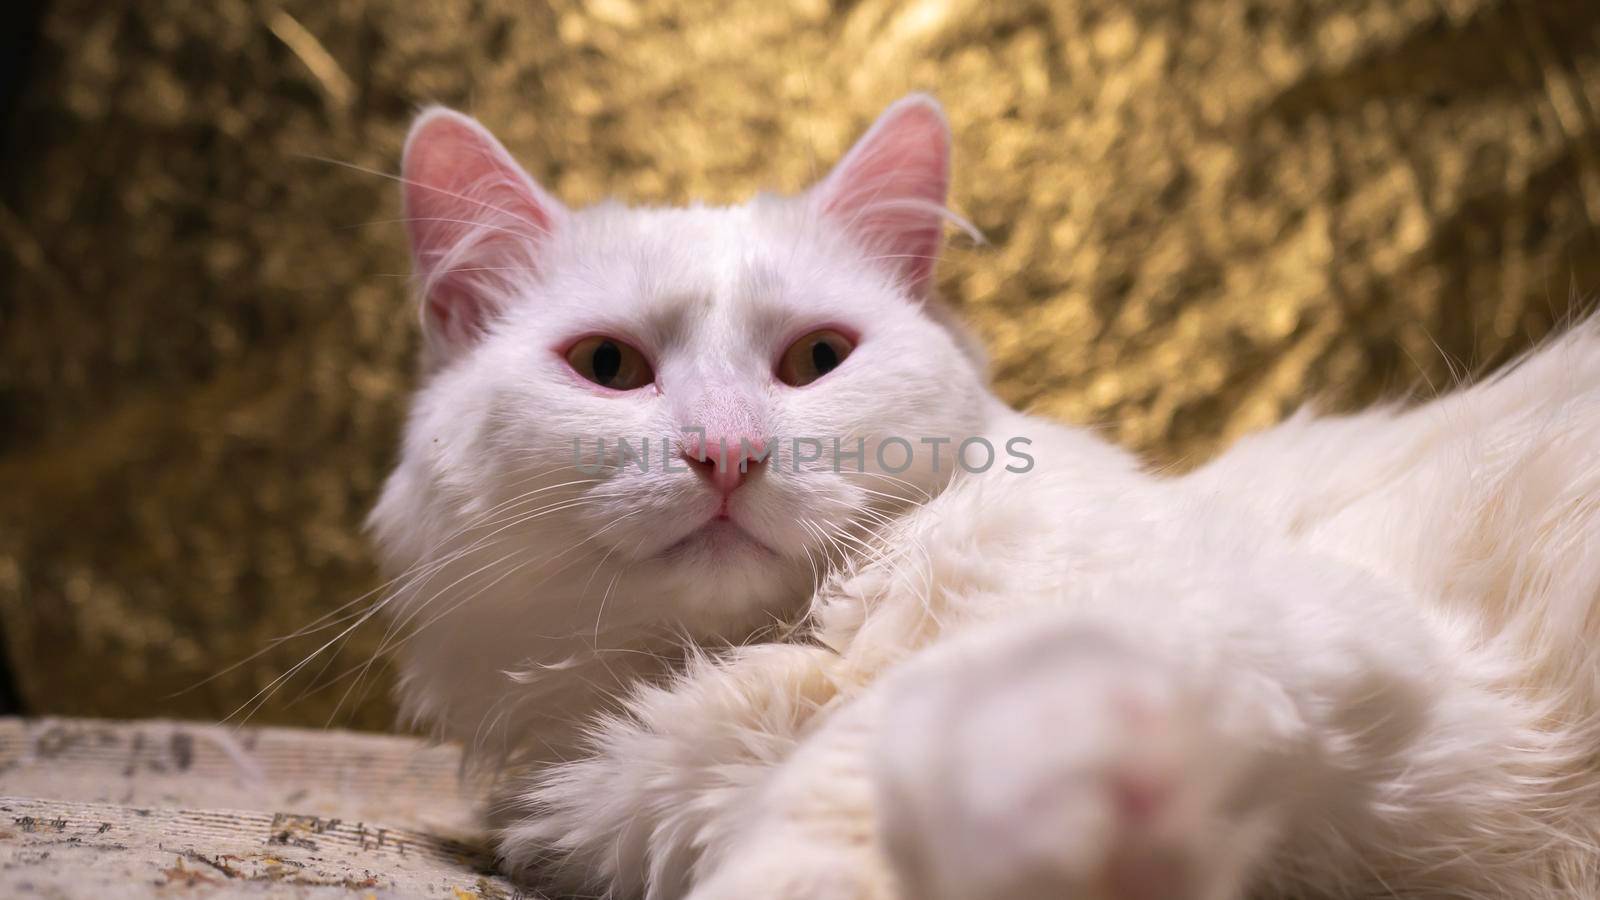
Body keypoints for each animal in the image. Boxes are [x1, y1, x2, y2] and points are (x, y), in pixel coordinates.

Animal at [368, 94, 1600, 890]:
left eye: (817, 359)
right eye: (609, 367)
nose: (726, 453)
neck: (762, 652)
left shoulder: (1251, 624)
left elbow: (867, 760)